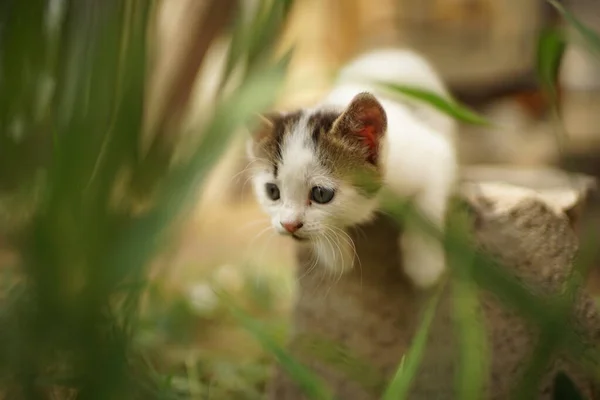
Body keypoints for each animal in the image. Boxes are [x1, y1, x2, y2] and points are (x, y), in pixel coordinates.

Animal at [246, 48, 458, 290]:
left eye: (321, 194)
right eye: (272, 191)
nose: (289, 225)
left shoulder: (433, 155)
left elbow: (427, 204)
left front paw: (425, 264)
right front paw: (336, 255)